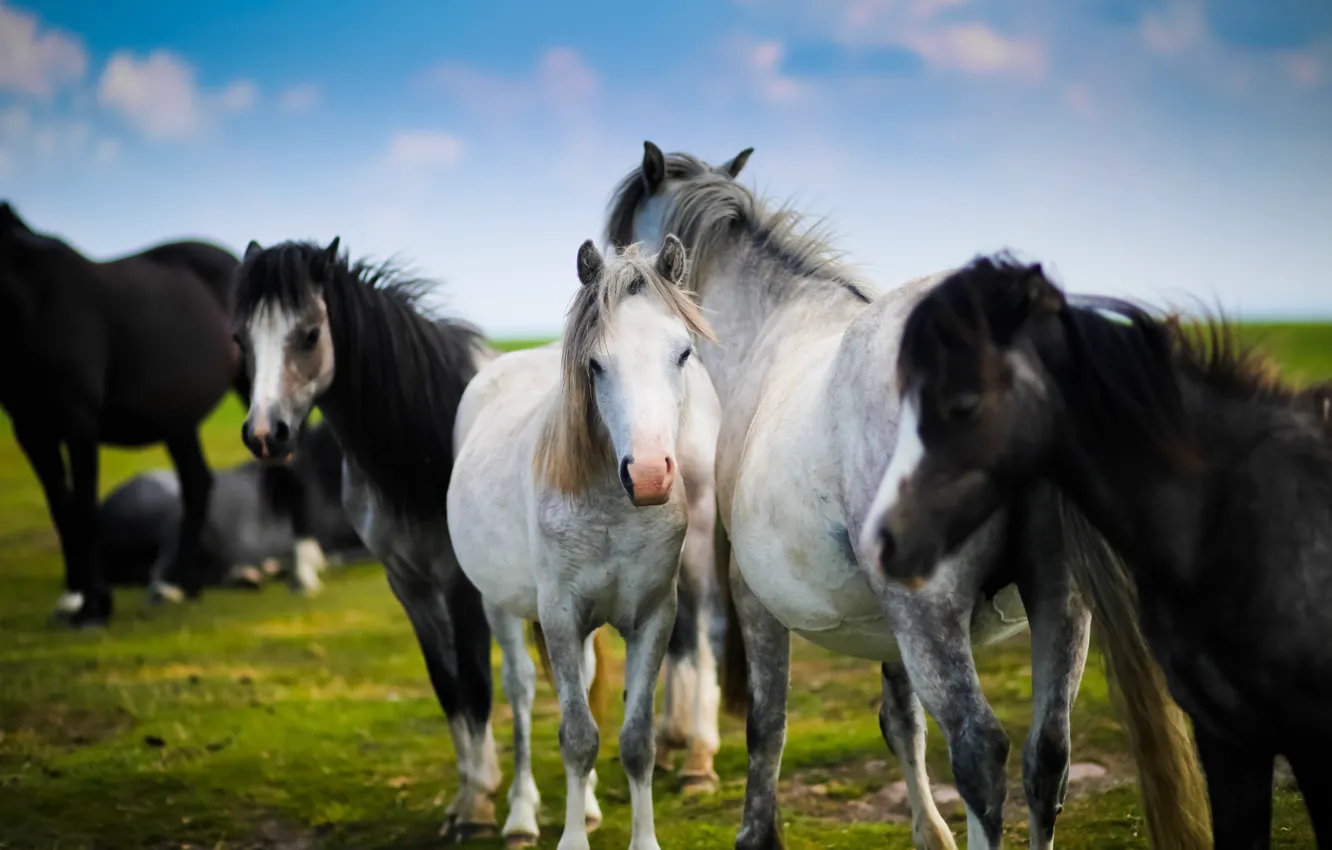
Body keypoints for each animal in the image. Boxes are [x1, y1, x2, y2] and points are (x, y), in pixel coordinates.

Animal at [0, 201, 246, 628]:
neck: (33, 300)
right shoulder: (30, 428)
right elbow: (62, 510)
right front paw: (73, 598)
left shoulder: (79, 422)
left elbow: (84, 511)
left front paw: (94, 606)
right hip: (177, 419)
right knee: (197, 482)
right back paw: (177, 585)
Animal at [231, 236, 616, 842]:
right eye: (240, 340)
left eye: (310, 334)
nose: (266, 435)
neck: (418, 441)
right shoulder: (406, 584)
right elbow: (448, 685)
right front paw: (467, 794)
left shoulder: (461, 586)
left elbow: (478, 685)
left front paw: (480, 804)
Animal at [447, 236, 720, 850]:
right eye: (595, 364)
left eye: (683, 353)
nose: (649, 475)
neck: (613, 512)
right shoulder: (560, 617)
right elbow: (576, 736)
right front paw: (571, 838)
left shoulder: (653, 617)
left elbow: (635, 740)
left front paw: (641, 839)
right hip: (500, 606)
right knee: (522, 693)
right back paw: (521, 815)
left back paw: (589, 805)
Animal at [605, 143, 1210, 850]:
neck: (774, 327)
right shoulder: (885, 624)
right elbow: (902, 722)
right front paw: (930, 830)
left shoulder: (756, 599)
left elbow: (766, 724)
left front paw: (757, 832)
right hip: (1059, 604)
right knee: (1047, 757)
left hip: (932, 615)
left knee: (980, 751)